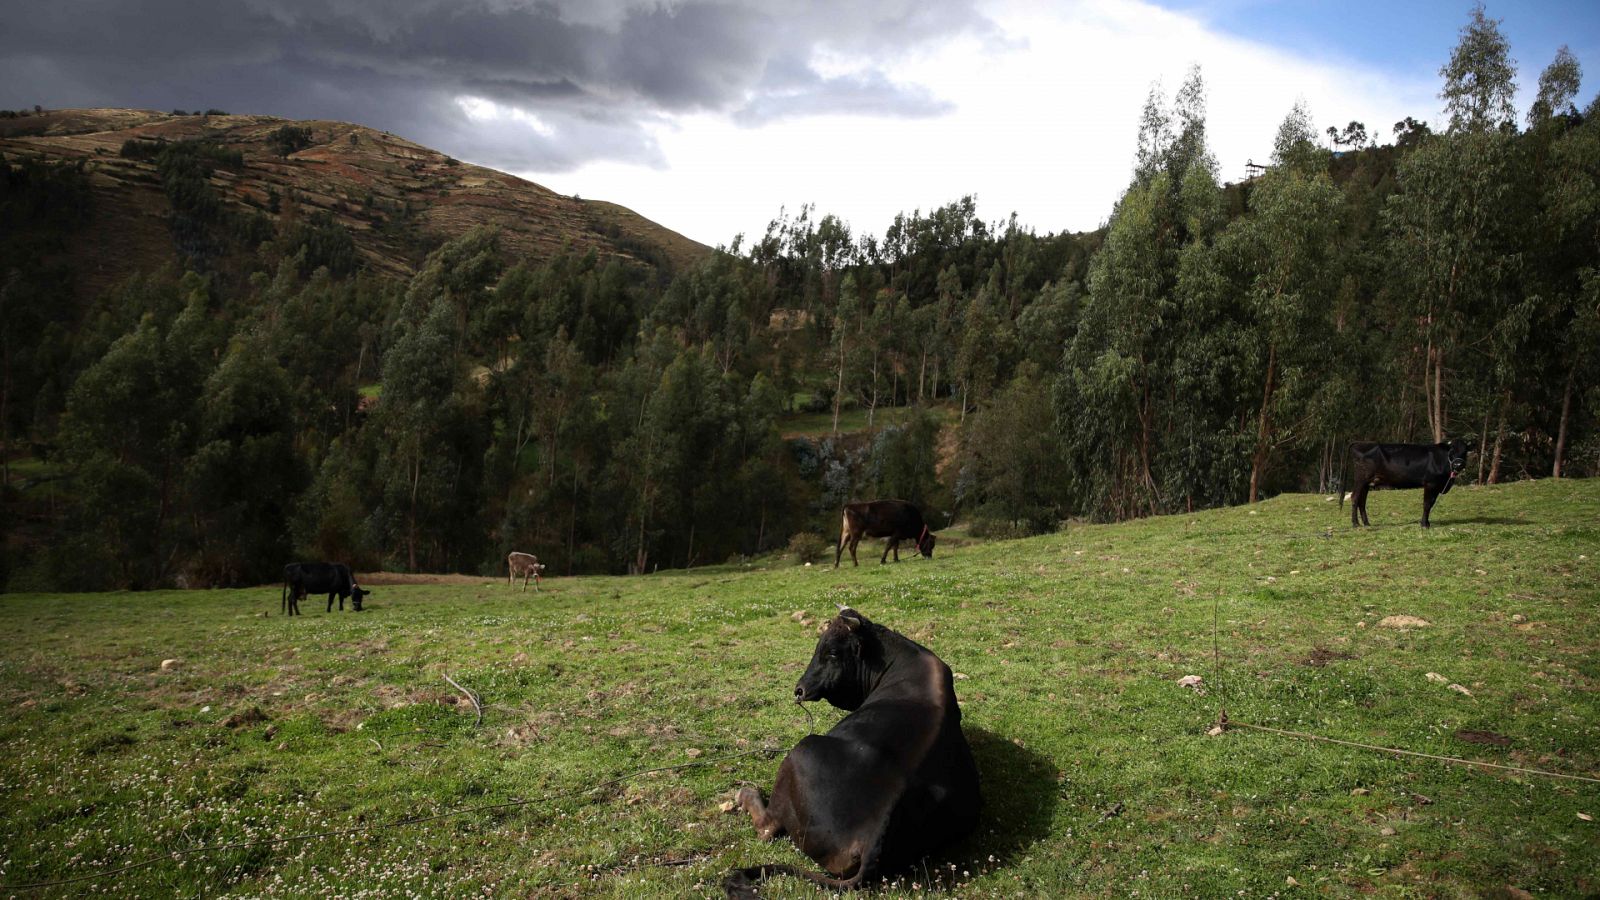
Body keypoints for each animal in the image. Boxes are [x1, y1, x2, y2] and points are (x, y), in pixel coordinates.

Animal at [723, 605, 972, 890]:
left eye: (832, 652)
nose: (799, 689)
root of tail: (870, 836)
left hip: (800, 753)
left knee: (767, 827)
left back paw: (745, 793)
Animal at [1337, 435, 1472, 525]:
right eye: (1451, 450)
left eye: (1465, 451)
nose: (1458, 464)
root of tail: (1361, 443)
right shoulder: (1430, 483)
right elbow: (1427, 504)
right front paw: (1424, 524)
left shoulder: (1436, 485)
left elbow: (1431, 503)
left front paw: (1426, 522)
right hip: (1361, 479)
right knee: (1355, 497)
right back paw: (1355, 523)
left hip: (1367, 482)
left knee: (1362, 501)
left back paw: (1366, 523)